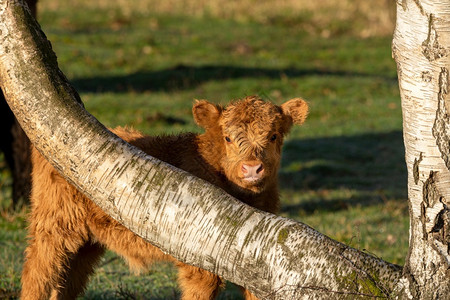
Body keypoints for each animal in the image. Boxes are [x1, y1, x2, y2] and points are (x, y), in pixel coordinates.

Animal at [22, 96, 310, 300]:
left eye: (273, 136)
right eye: (228, 137)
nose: (251, 168)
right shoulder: (199, 264)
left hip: (87, 243)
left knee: (66, 283)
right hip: (53, 227)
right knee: (38, 275)